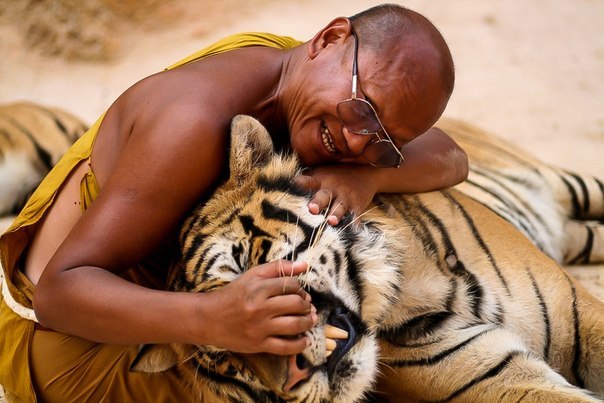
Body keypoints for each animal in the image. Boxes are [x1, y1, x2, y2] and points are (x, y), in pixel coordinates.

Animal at [133, 114, 604, 403]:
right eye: (224, 358)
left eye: (247, 259)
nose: (293, 379)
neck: (405, 287)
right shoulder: (499, 378)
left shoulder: (579, 316)